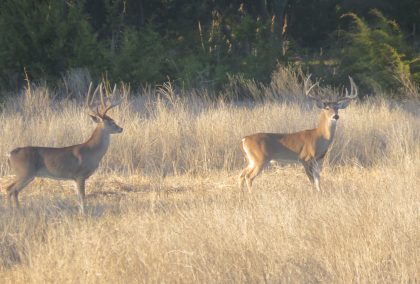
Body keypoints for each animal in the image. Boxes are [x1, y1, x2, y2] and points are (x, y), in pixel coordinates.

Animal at [5, 84, 122, 213]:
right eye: (112, 122)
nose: (121, 128)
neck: (92, 152)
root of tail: (10, 154)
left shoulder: (75, 178)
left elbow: (78, 197)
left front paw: (80, 212)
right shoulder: (80, 175)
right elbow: (82, 197)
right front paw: (84, 214)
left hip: (25, 174)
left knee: (12, 190)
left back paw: (17, 210)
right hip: (25, 172)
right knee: (10, 189)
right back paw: (13, 211)